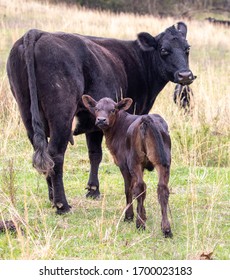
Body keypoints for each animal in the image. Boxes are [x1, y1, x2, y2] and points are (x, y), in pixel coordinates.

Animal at [6, 22, 195, 214]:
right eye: (164, 50)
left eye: (187, 49)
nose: (185, 75)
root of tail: (38, 33)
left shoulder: (94, 122)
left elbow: (95, 154)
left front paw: (93, 190)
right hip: (61, 113)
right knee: (56, 154)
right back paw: (62, 205)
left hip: (26, 111)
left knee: (43, 152)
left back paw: (52, 198)